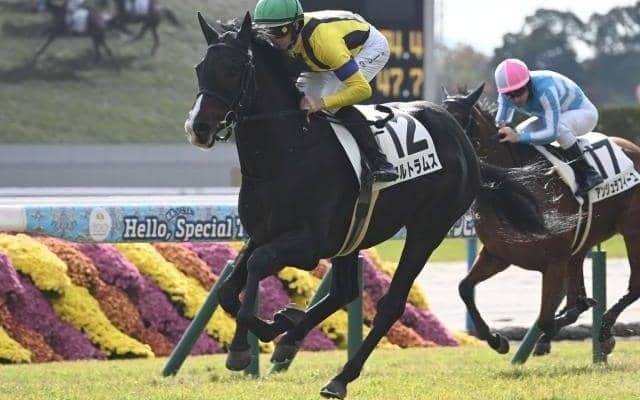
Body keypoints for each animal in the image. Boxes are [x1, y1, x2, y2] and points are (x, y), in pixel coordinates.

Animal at [184, 12, 551, 399]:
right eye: (200, 68)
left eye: (233, 69)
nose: (198, 128)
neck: (289, 151)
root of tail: (466, 146)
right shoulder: (262, 233)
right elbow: (228, 289)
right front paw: (273, 327)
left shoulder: (307, 244)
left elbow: (255, 267)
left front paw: (250, 341)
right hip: (353, 235)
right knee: (345, 290)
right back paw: (292, 338)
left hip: (428, 229)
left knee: (391, 304)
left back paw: (340, 377)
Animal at [443, 84, 640, 357]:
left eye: (459, 119)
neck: (517, 188)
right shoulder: (497, 254)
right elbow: (464, 288)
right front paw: (497, 340)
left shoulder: (554, 263)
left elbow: (547, 319)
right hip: (583, 244)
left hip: (632, 230)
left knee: (635, 286)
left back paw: (604, 332)